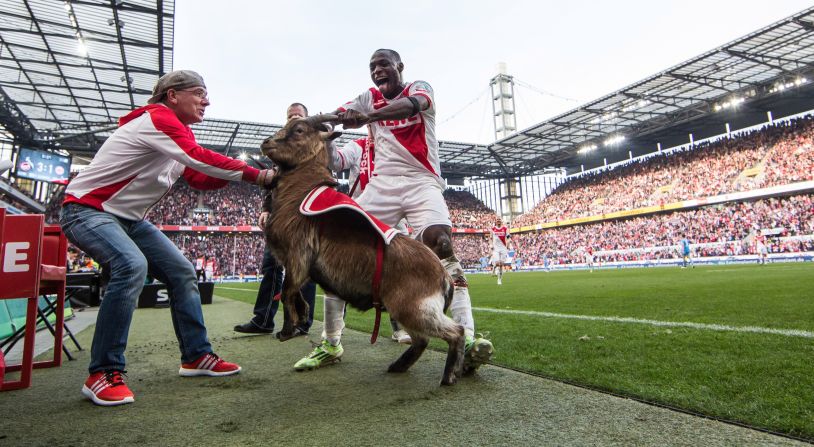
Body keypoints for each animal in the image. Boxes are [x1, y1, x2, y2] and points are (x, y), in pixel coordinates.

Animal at [262, 114, 466, 384]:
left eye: (299, 129)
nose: (265, 143)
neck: (301, 193)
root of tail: (444, 277)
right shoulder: (297, 264)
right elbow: (293, 292)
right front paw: (302, 317)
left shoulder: (298, 255)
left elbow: (286, 292)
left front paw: (286, 331)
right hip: (409, 310)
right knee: (422, 340)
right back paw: (398, 366)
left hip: (414, 309)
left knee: (455, 331)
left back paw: (450, 375)